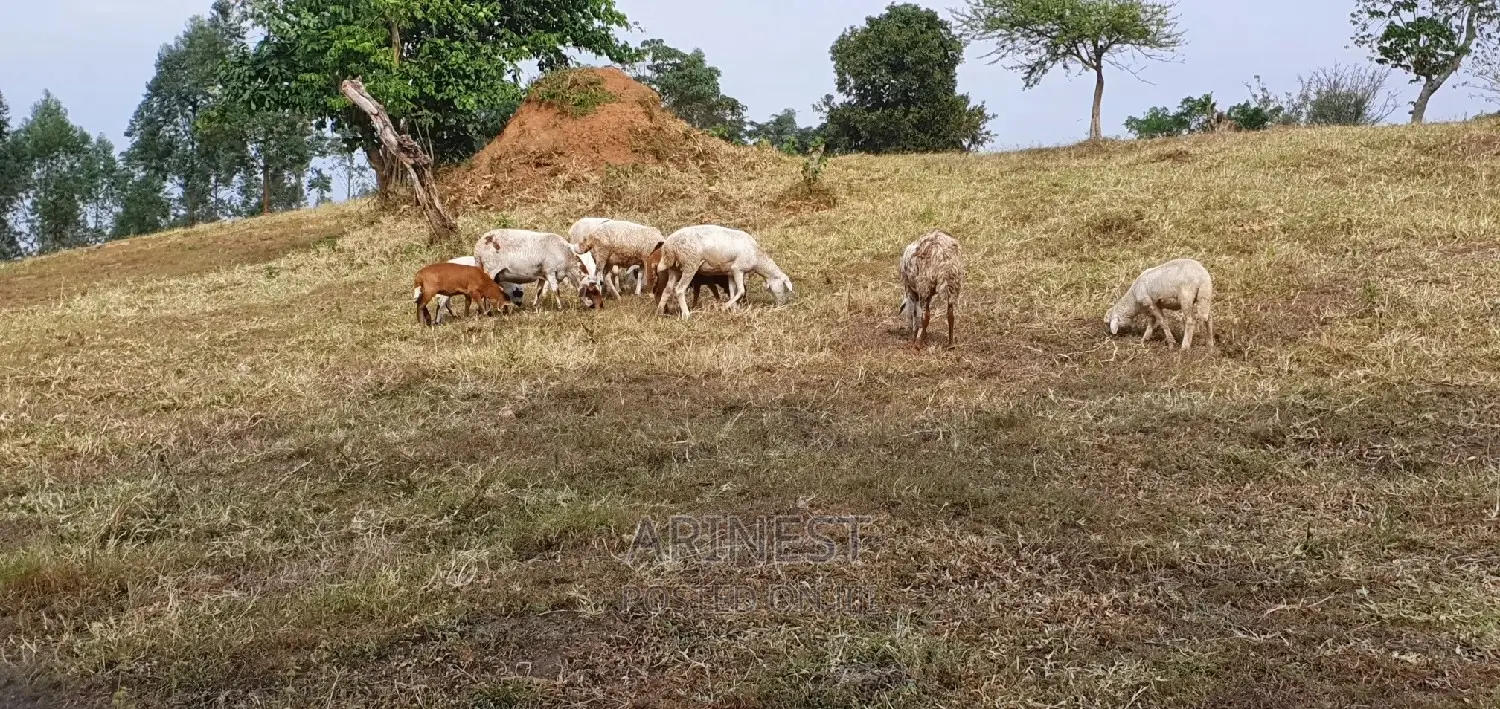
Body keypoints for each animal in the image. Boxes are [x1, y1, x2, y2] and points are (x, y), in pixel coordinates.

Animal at [474, 229, 605, 310]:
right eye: (592, 290)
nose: (601, 306)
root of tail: (478, 247)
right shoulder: (550, 271)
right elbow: (556, 290)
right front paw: (560, 307)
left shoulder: (542, 274)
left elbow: (539, 290)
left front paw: (535, 305)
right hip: (490, 269)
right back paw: (488, 310)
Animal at [655, 225, 793, 320]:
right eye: (785, 287)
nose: (782, 304)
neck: (758, 257)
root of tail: (669, 246)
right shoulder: (738, 269)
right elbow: (741, 290)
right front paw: (725, 306)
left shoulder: (730, 272)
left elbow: (733, 291)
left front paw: (734, 309)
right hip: (690, 264)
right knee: (679, 290)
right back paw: (686, 315)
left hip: (674, 269)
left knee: (667, 290)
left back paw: (660, 312)